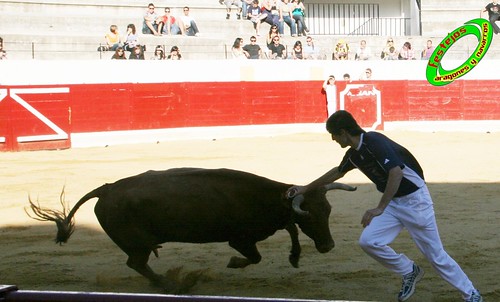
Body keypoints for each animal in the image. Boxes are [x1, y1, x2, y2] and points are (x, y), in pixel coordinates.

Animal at [27, 169, 356, 290]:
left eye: (327, 211)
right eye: (311, 216)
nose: (328, 246)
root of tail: (106, 189)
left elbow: (290, 229)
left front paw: (295, 257)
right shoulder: (241, 239)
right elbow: (255, 256)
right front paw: (232, 263)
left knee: (137, 263)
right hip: (137, 242)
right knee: (136, 263)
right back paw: (173, 284)